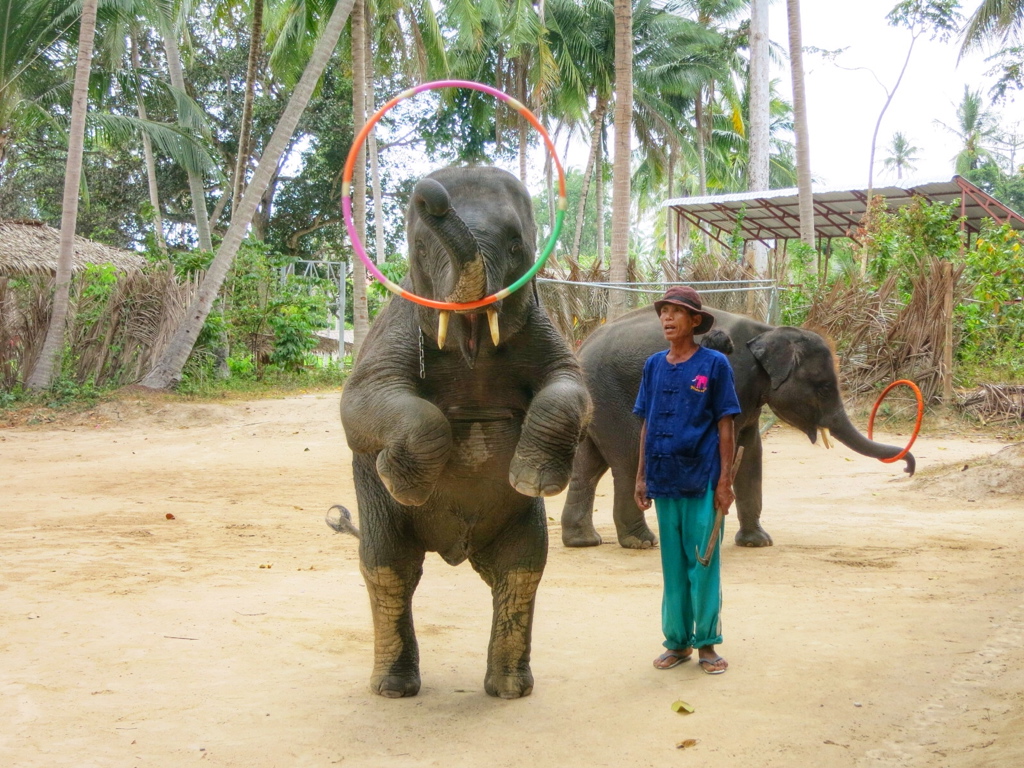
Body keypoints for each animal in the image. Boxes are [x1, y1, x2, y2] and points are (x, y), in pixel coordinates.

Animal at [337, 165, 589, 700]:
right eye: (419, 245)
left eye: (516, 243)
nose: (428, 194)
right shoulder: (395, 323)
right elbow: (358, 402)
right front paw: (399, 477)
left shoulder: (542, 327)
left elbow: (572, 384)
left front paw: (534, 479)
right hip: (378, 516)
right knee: (389, 567)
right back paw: (393, 689)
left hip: (517, 526)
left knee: (522, 567)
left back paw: (510, 689)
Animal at [565, 307, 917, 552]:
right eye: (824, 387)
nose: (909, 468)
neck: (769, 332)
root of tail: (582, 348)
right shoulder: (733, 377)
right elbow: (727, 447)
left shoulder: (749, 398)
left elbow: (750, 453)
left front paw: (757, 542)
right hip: (612, 399)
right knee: (627, 462)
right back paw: (642, 543)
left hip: (597, 401)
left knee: (589, 465)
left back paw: (584, 541)